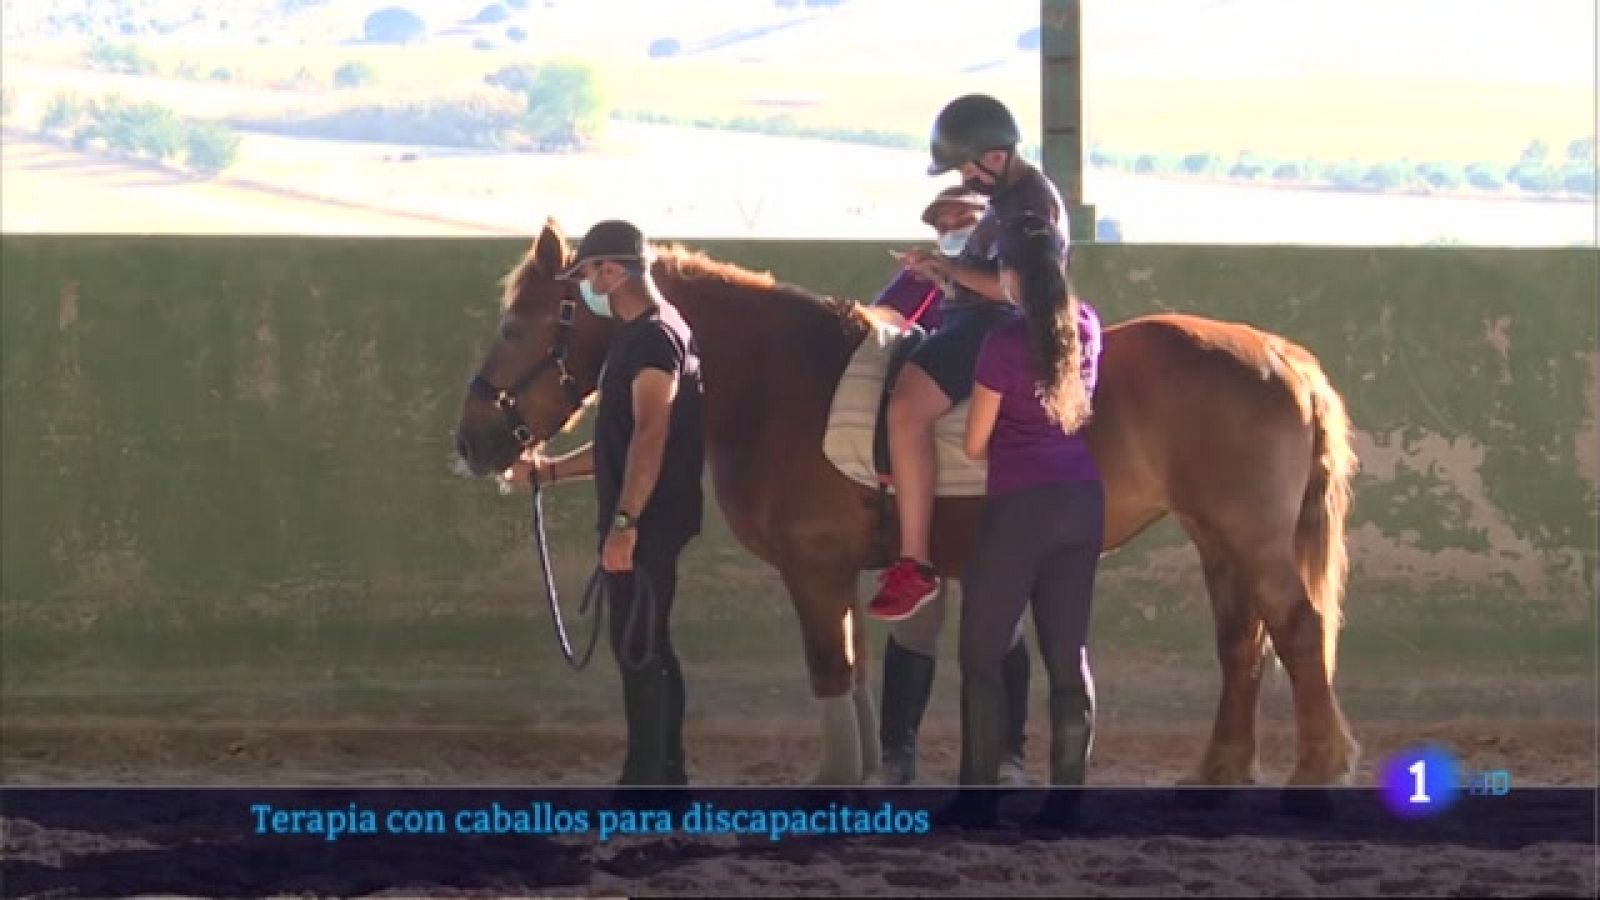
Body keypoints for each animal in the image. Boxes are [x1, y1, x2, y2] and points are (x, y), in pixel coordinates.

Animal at [454, 218, 1361, 788]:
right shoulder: (837, 572)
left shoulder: (814, 568)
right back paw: (1222, 767)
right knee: (1241, 643)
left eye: (514, 326)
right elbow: (857, 672)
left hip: (1250, 536)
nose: (475, 443)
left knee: (1296, 627)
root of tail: (1283, 356)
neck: (781, 380)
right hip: (1216, 538)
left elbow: (830, 668)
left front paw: (831, 780)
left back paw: (1318, 764)